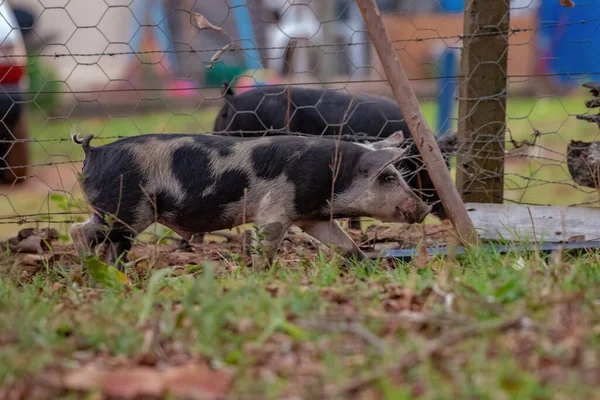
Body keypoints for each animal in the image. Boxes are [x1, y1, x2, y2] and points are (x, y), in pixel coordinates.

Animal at [70, 131, 432, 268]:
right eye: (388, 178)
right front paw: (261, 272)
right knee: (79, 230)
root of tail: (94, 151)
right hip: (125, 211)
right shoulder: (276, 210)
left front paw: (365, 263)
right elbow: (267, 245)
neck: (333, 179)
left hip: (123, 216)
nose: (426, 207)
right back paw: (89, 265)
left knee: (111, 246)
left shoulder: (309, 216)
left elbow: (344, 243)